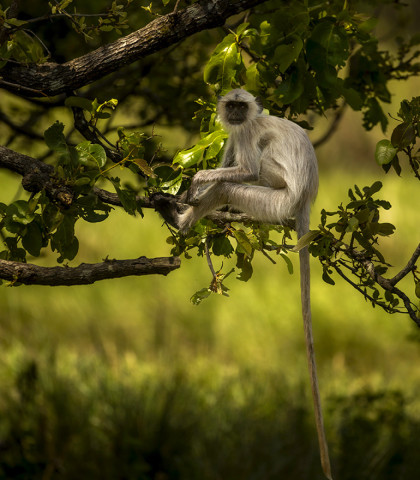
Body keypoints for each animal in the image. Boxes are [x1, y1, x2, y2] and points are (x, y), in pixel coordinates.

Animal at [160, 89, 332, 480]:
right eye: (232, 106)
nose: (237, 114)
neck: (247, 120)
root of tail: (304, 198)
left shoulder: (247, 132)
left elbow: (245, 168)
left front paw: (196, 180)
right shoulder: (233, 134)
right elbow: (227, 156)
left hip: (274, 200)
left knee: (239, 180)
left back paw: (182, 220)